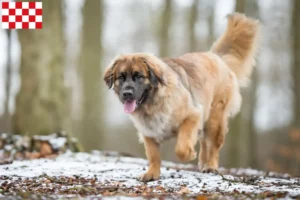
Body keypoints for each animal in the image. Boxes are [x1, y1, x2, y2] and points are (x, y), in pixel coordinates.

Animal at [103, 12, 260, 181]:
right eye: (121, 77)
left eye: (138, 76)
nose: (127, 93)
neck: (153, 103)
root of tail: (215, 56)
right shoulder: (148, 132)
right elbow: (153, 155)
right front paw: (152, 173)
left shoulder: (192, 116)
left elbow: (182, 147)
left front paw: (189, 153)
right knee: (205, 142)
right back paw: (203, 164)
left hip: (215, 118)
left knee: (213, 146)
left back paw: (211, 166)